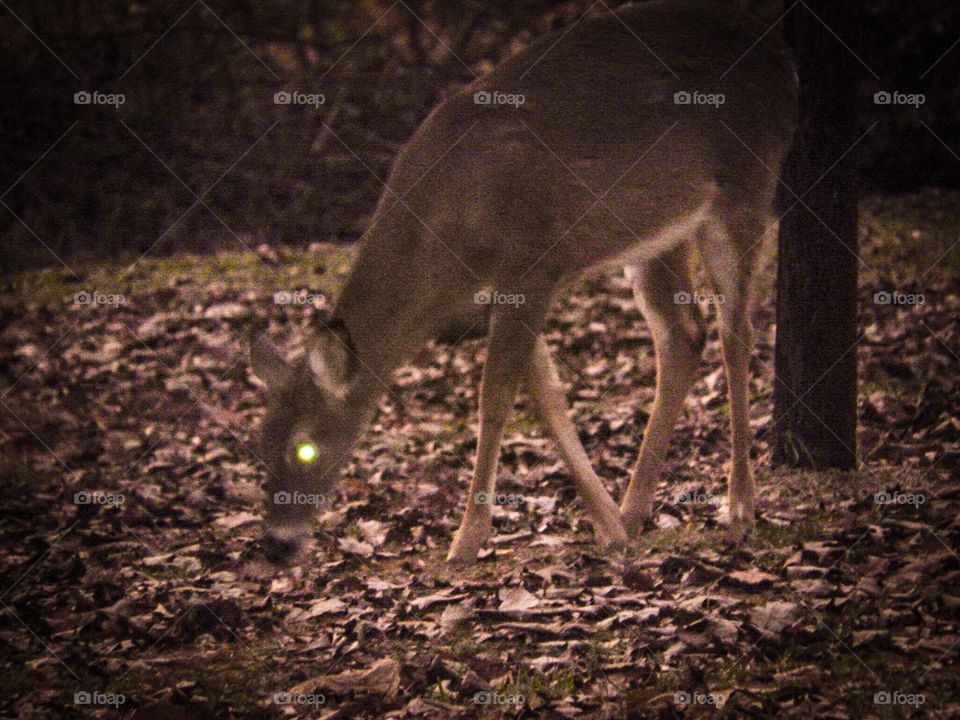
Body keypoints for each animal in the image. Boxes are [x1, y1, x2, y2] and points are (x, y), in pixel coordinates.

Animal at [250, 0, 797, 563]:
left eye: (305, 447)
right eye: (260, 449)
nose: (275, 545)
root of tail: (782, 61)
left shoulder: (532, 267)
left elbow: (495, 401)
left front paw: (465, 542)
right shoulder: (500, 298)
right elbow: (550, 402)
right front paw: (609, 527)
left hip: (745, 188)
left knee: (737, 334)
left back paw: (740, 507)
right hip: (658, 235)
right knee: (684, 336)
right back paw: (635, 509)